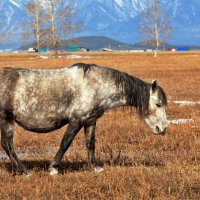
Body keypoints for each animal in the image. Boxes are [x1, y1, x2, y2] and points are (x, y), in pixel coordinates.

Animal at [0, 62, 169, 175]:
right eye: (158, 104)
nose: (163, 129)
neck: (97, 86)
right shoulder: (76, 120)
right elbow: (65, 143)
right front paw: (54, 168)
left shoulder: (90, 121)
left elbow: (90, 144)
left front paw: (96, 167)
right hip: (6, 119)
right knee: (8, 144)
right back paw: (24, 171)